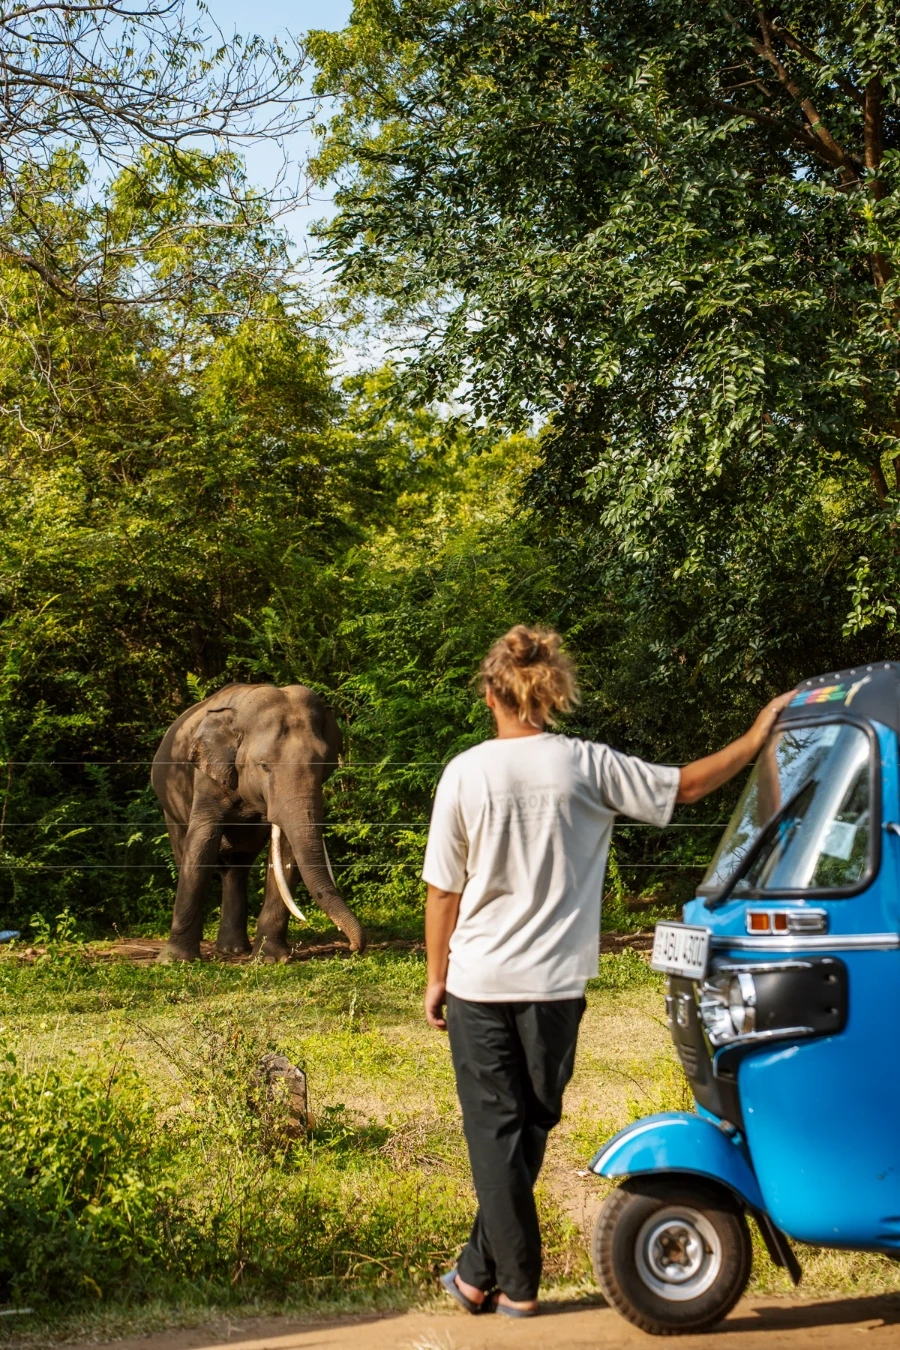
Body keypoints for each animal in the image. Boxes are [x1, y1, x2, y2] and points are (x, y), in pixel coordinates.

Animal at [151, 683, 366, 962]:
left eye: (323, 766)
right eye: (264, 766)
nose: (352, 947)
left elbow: (285, 854)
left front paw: (271, 959)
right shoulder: (207, 778)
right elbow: (201, 845)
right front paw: (174, 961)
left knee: (237, 869)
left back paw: (233, 949)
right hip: (170, 807)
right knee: (185, 852)